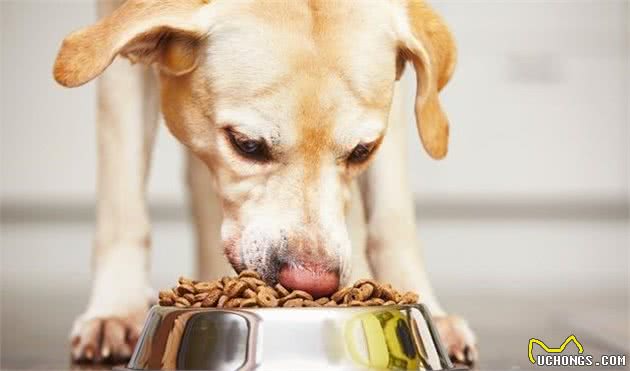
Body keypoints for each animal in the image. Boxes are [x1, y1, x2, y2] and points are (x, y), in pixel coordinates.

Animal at [55, 0, 478, 366]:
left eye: (362, 151)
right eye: (246, 144)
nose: (313, 282)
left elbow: (393, 217)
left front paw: (425, 308)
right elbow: (123, 202)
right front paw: (117, 310)